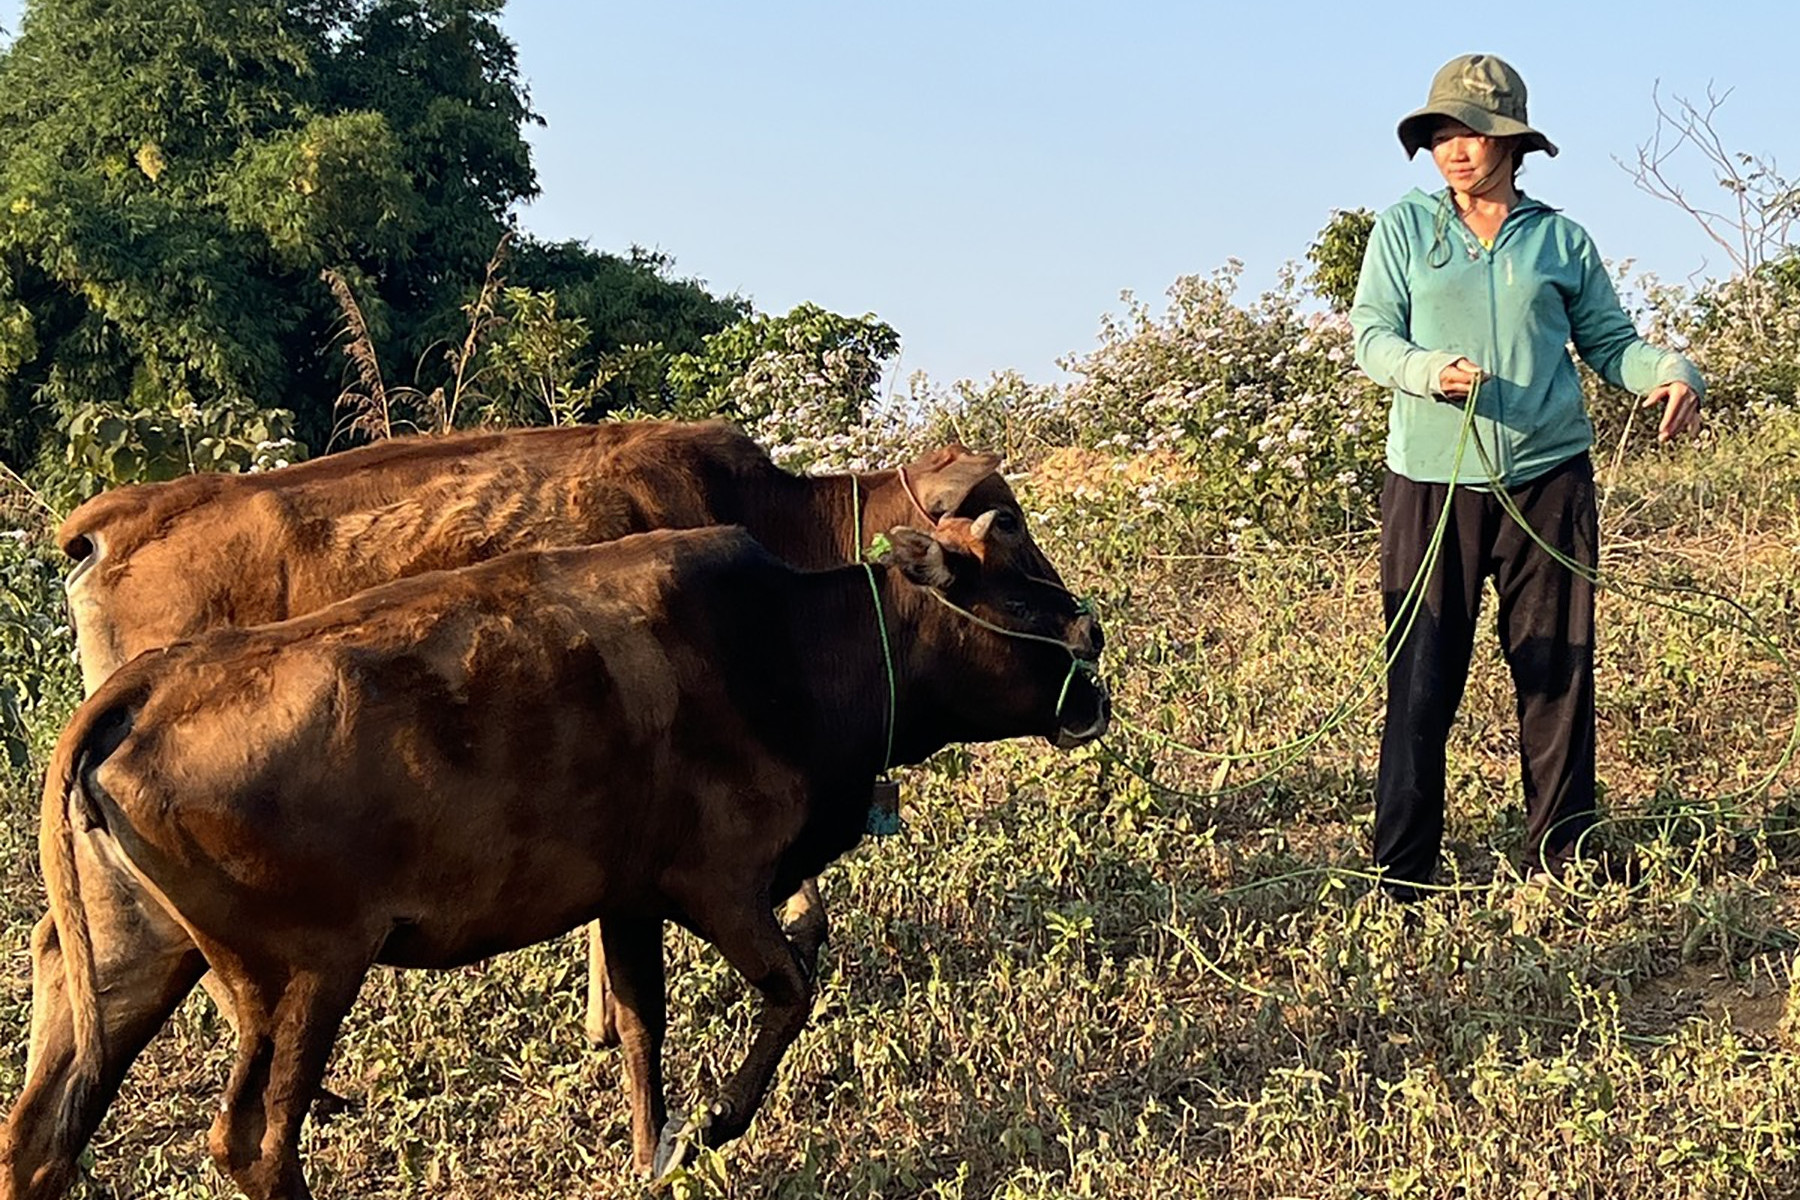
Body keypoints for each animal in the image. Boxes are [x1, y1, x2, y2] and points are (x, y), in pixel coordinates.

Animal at [0, 518, 1101, 1200]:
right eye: (1010, 585)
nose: (1093, 646)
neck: (787, 646)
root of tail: (144, 683)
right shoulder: (716, 885)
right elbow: (792, 989)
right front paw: (712, 1126)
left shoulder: (628, 898)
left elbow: (641, 1027)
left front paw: (655, 1153)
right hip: (301, 978)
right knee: (253, 1145)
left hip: (136, 962)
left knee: (40, 1138)